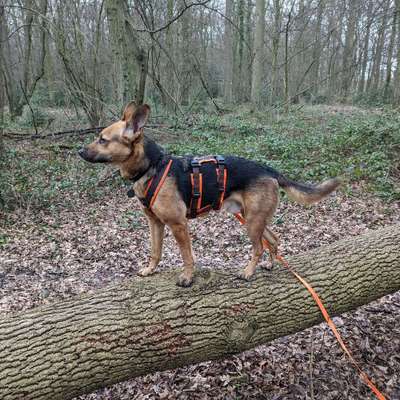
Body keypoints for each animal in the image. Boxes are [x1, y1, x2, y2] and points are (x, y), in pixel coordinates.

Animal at [79, 101, 340, 286]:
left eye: (102, 139)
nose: (79, 151)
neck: (152, 167)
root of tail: (268, 169)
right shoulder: (155, 223)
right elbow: (155, 251)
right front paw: (150, 270)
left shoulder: (178, 224)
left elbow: (187, 256)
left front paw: (188, 277)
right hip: (254, 218)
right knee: (273, 240)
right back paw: (269, 266)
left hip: (252, 222)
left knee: (259, 247)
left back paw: (248, 272)